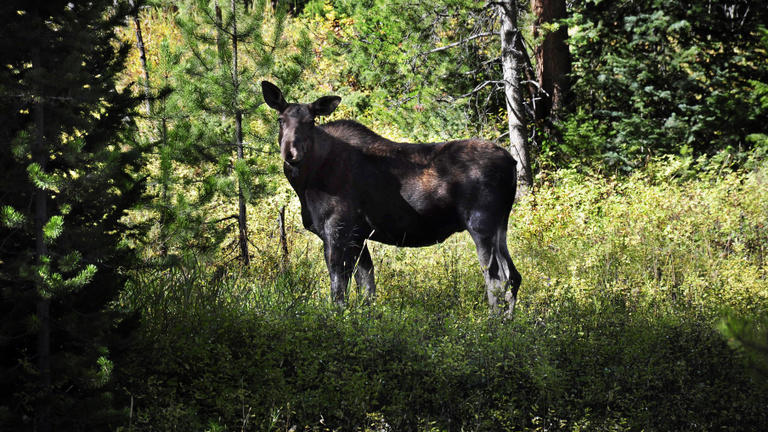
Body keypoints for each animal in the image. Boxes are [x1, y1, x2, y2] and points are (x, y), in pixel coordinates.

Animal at [262, 81, 520, 312]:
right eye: (280, 120)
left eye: (311, 122)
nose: (291, 152)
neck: (306, 182)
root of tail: (512, 163)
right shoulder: (358, 235)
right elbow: (367, 286)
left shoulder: (337, 228)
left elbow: (339, 287)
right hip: (500, 226)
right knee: (513, 275)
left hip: (481, 224)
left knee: (496, 278)